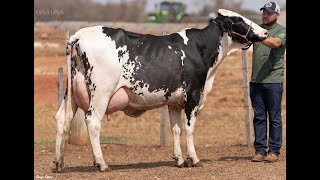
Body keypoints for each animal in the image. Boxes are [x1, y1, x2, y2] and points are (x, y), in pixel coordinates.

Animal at [53, 9, 268, 172]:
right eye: (238, 20)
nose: (265, 32)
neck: (200, 49)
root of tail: (81, 33)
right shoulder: (193, 96)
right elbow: (189, 129)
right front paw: (193, 159)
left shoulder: (174, 102)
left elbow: (176, 129)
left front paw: (179, 159)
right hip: (101, 93)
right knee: (93, 121)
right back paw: (101, 164)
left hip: (71, 94)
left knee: (62, 119)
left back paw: (58, 163)